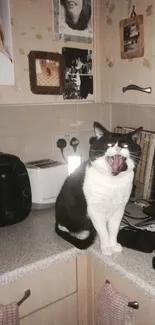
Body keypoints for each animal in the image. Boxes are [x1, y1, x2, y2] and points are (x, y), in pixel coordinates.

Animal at [55, 120, 142, 254]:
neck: (113, 181)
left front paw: (114, 244)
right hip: (66, 209)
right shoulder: (95, 210)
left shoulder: (119, 208)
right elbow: (102, 231)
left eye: (125, 146)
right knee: (66, 227)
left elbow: (114, 228)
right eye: (110, 144)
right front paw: (106, 247)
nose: (118, 147)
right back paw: (81, 233)